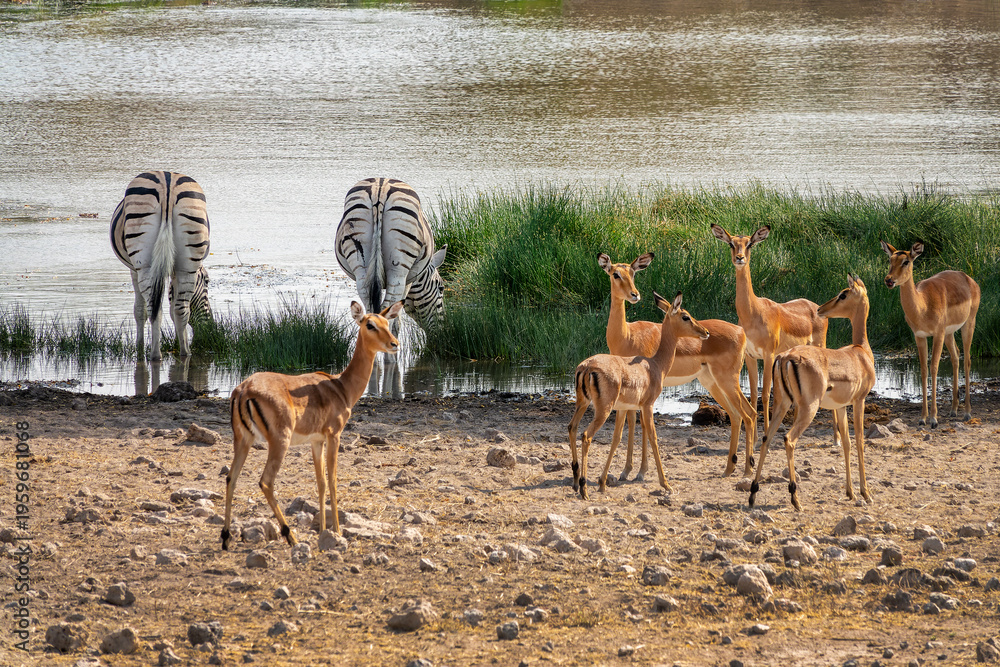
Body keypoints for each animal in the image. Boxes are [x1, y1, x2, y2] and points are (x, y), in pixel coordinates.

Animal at [110, 171, 212, 361]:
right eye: (208, 281)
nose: (210, 326)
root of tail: (167, 182)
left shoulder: (134, 270)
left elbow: (139, 310)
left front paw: (139, 348)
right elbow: (171, 308)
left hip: (145, 262)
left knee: (153, 309)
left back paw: (155, 354)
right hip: (188, 262)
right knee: (181, 309)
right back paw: (185, 352)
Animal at [335, 178, 446, 334]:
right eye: (441, 288)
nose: (442, 332)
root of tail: (380, 189)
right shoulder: (408, 281)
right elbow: (396, 320)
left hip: (360, 264)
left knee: (369, 310)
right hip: (398, 270)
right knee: (385, 313)